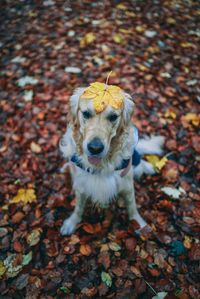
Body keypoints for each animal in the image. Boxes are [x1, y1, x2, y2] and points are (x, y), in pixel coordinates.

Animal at [59, 83, 164, 236]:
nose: (95, 148)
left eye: (113, 117)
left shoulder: (126, 184)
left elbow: (132, 207)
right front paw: (72, 222)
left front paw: (140, 224)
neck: (101, 165)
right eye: (86, 114)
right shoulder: (82, 184)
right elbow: (78, 207)